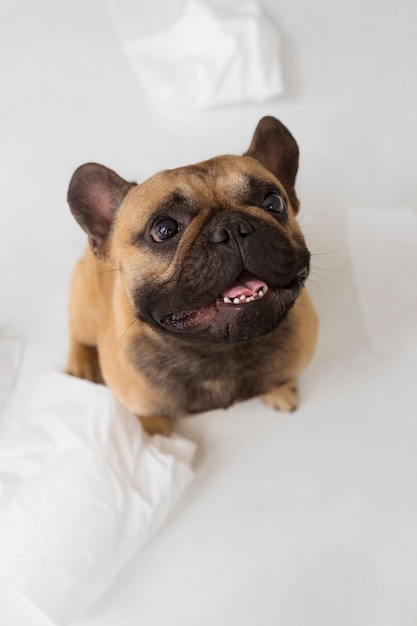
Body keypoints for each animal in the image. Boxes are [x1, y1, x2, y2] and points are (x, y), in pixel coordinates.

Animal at [66, 114, 316, 432]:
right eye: (164, 229)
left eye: (274, 203)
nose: (232, 227)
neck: (221, 350)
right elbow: (150, 420)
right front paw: (155, 437)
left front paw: (280, 390)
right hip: (86, 309)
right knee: (78, 333)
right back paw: (81, 365)